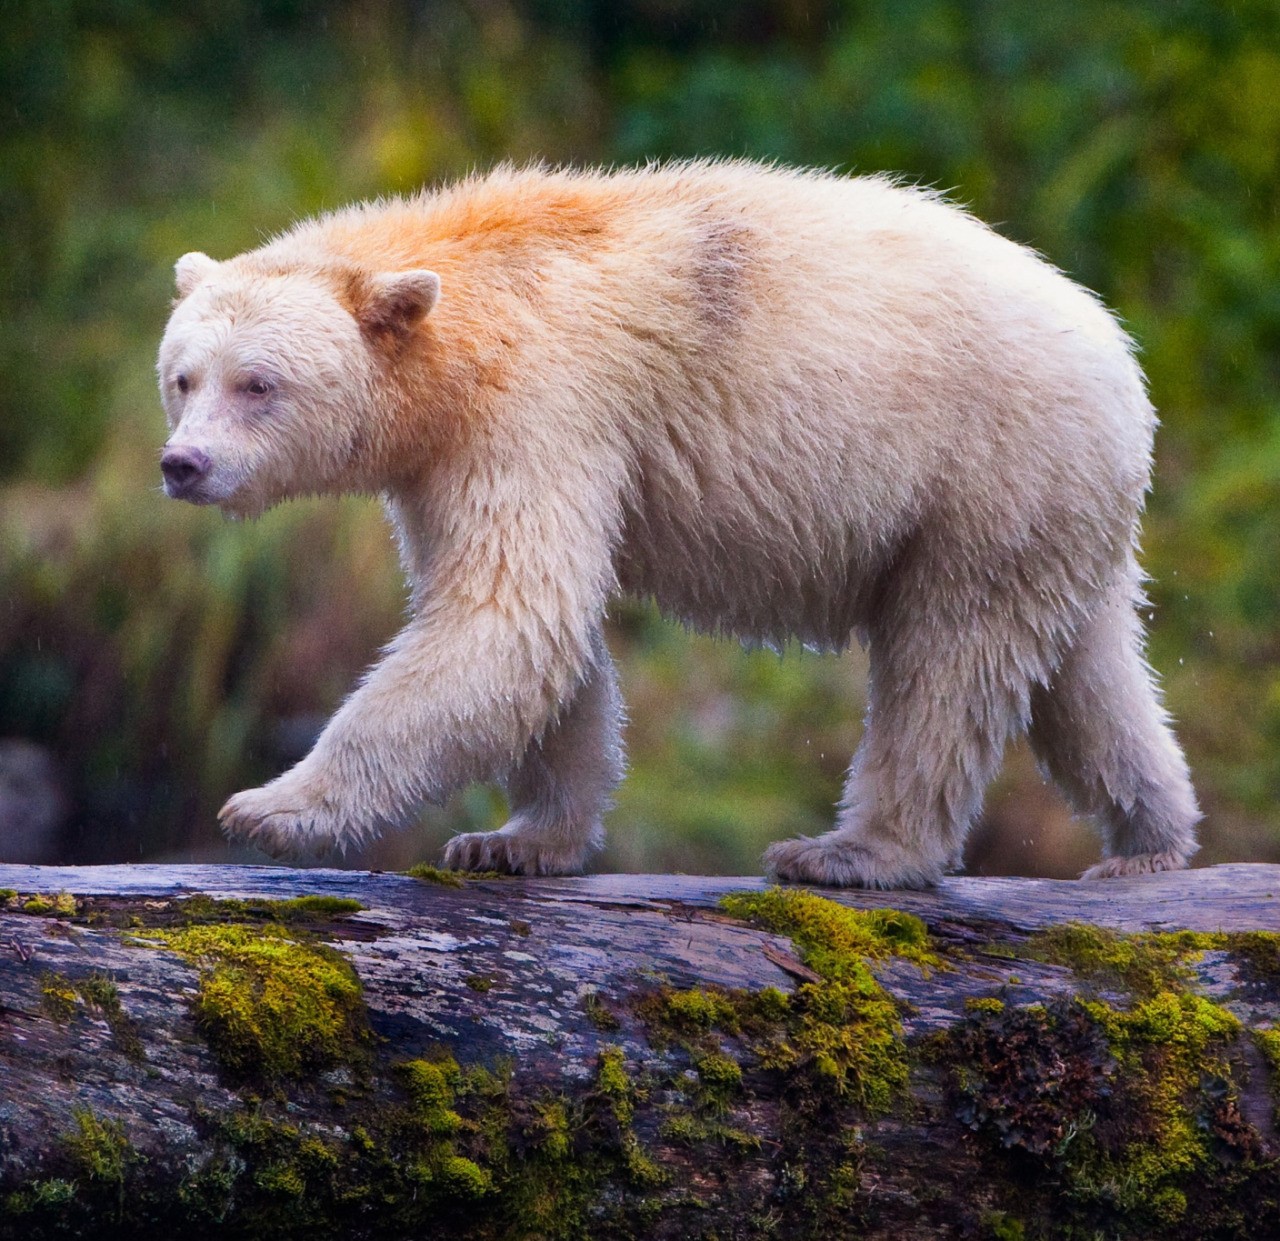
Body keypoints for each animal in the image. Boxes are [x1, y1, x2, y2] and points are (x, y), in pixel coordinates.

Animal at [157, 159, 1198, 885]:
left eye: (259, 383)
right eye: (181, 377)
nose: (182, 465)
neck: (468, 310)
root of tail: (1117, 352)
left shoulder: (541, 405)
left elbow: (506, 617)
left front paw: (269, 809)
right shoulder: (443, 460)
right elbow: (542, 636)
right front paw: (514, 840)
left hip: (985, 465)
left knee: (948, 660)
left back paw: (852, 851)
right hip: (1057, 500)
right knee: (1086, 667)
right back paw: (1148, 837)